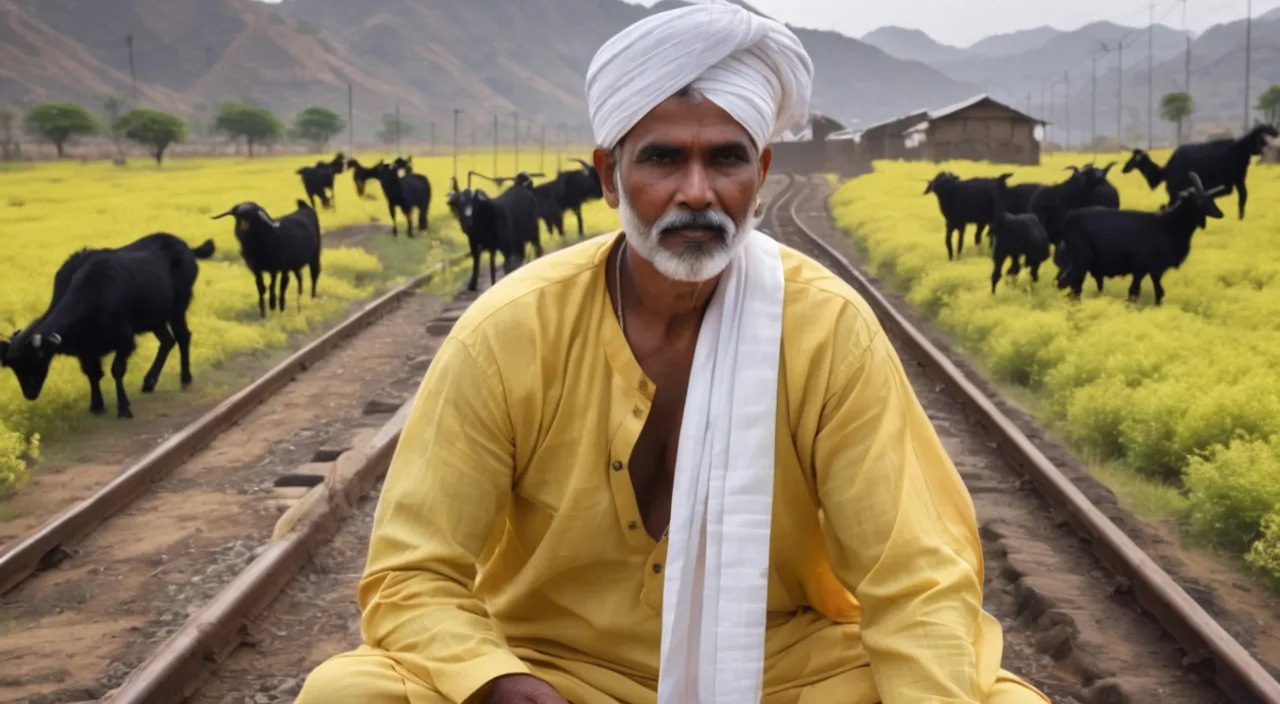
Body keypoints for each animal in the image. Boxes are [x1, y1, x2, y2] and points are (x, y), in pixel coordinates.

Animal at [0, 234, 215, 419]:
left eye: (36, 359)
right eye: (14, 366)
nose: (29, 393)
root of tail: (186, 247)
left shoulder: (124, 340)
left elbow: (116, 370)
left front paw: (124, 407)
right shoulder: (86, 350)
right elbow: (93, 373)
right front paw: (96, 405)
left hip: (178, 308)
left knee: (182, 336)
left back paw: (185, 378)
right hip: (155, 318)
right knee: (167, 341)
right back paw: (149, 382)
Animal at [1054, 172, 1223, 305]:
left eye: (1211, 198)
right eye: (1198, 199)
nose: (1220, 214)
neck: (1166, 225)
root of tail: (1070, 219)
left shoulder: (1156, 270)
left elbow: (1159, 292)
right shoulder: (1141, 267)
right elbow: (1134, 292)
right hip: (1080, 260)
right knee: (1067, 286)